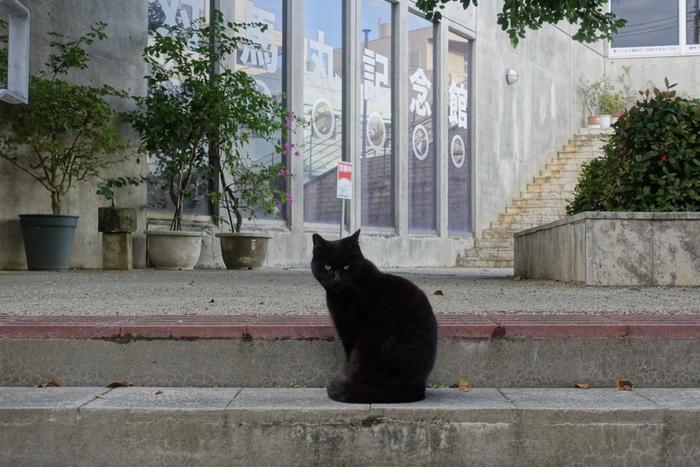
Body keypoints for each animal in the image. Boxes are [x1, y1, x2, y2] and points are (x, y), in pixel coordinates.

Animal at [308, 231, 434, 406]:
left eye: (347, 266)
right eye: (327, 267)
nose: (337, 279)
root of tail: (417, 387)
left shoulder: (349, 330)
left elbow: (348, 358)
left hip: (369, 341)